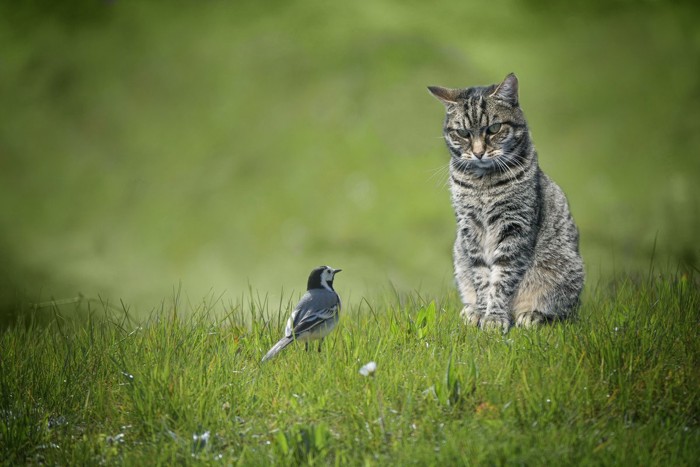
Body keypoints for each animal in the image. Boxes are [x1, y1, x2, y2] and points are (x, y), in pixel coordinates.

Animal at [426, 72, 584, 332]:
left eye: (494, 128)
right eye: (463, 133)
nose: (478, 152)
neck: (483, 183)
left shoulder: (515, 226)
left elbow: (502, 277)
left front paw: (494, 317)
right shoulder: (470, 228)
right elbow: (481, 277)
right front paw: (481, 312)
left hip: (565, 270)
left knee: (563, 312)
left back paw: (531, 315)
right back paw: (469, 310)